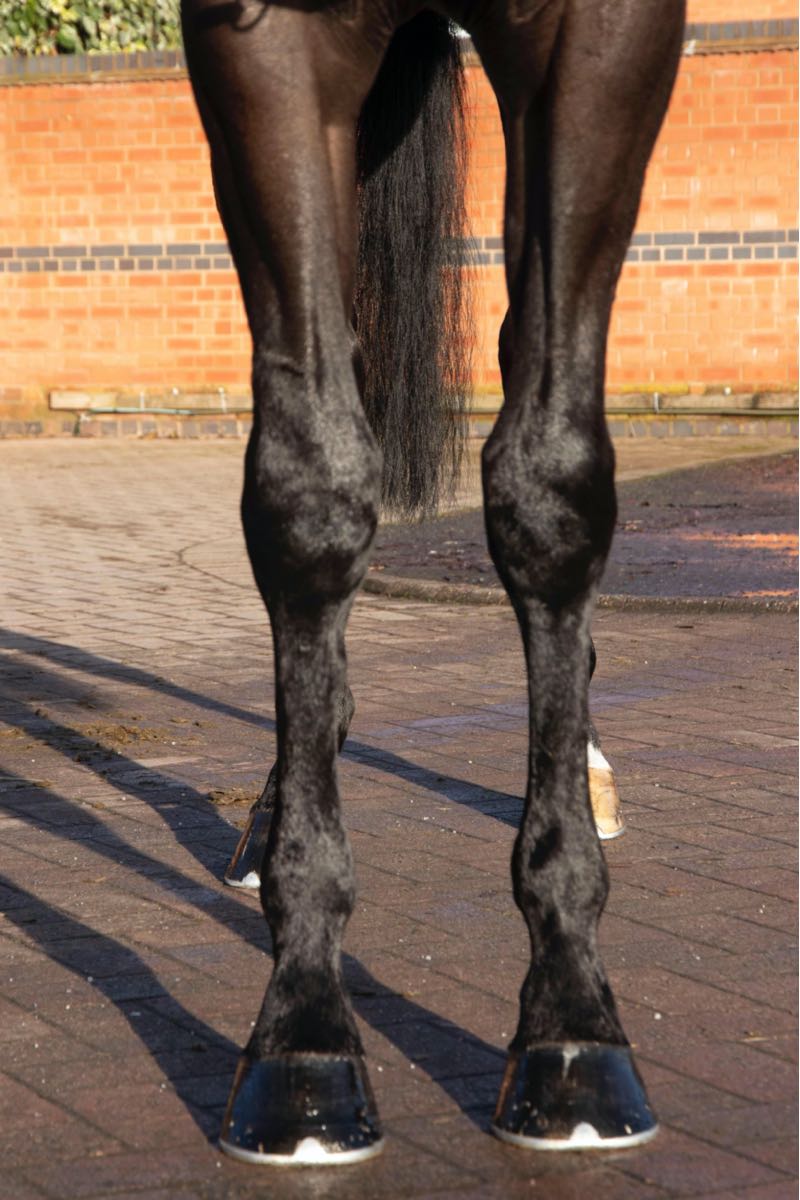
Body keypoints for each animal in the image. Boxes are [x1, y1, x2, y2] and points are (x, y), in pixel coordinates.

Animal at [181, 0, 685, 1165]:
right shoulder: (264, 49)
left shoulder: (602, 40)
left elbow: (549, 476)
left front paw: (571, 1024)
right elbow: (311, 482)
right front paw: (303, 1031)